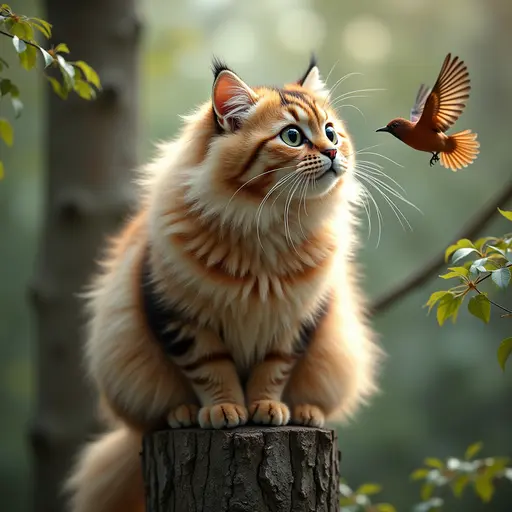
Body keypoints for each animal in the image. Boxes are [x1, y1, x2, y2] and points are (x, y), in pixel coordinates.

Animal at [65, 56, 384, 512]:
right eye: (292, 136)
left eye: (330, 131)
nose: (333, 151)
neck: (268, 226)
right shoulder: (180, 317)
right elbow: (212, 369)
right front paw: (227, 410)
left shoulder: (294, 320)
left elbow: (273, 368)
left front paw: (266, 406)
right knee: (156, 414)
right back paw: (182, 413)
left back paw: (305, 411)